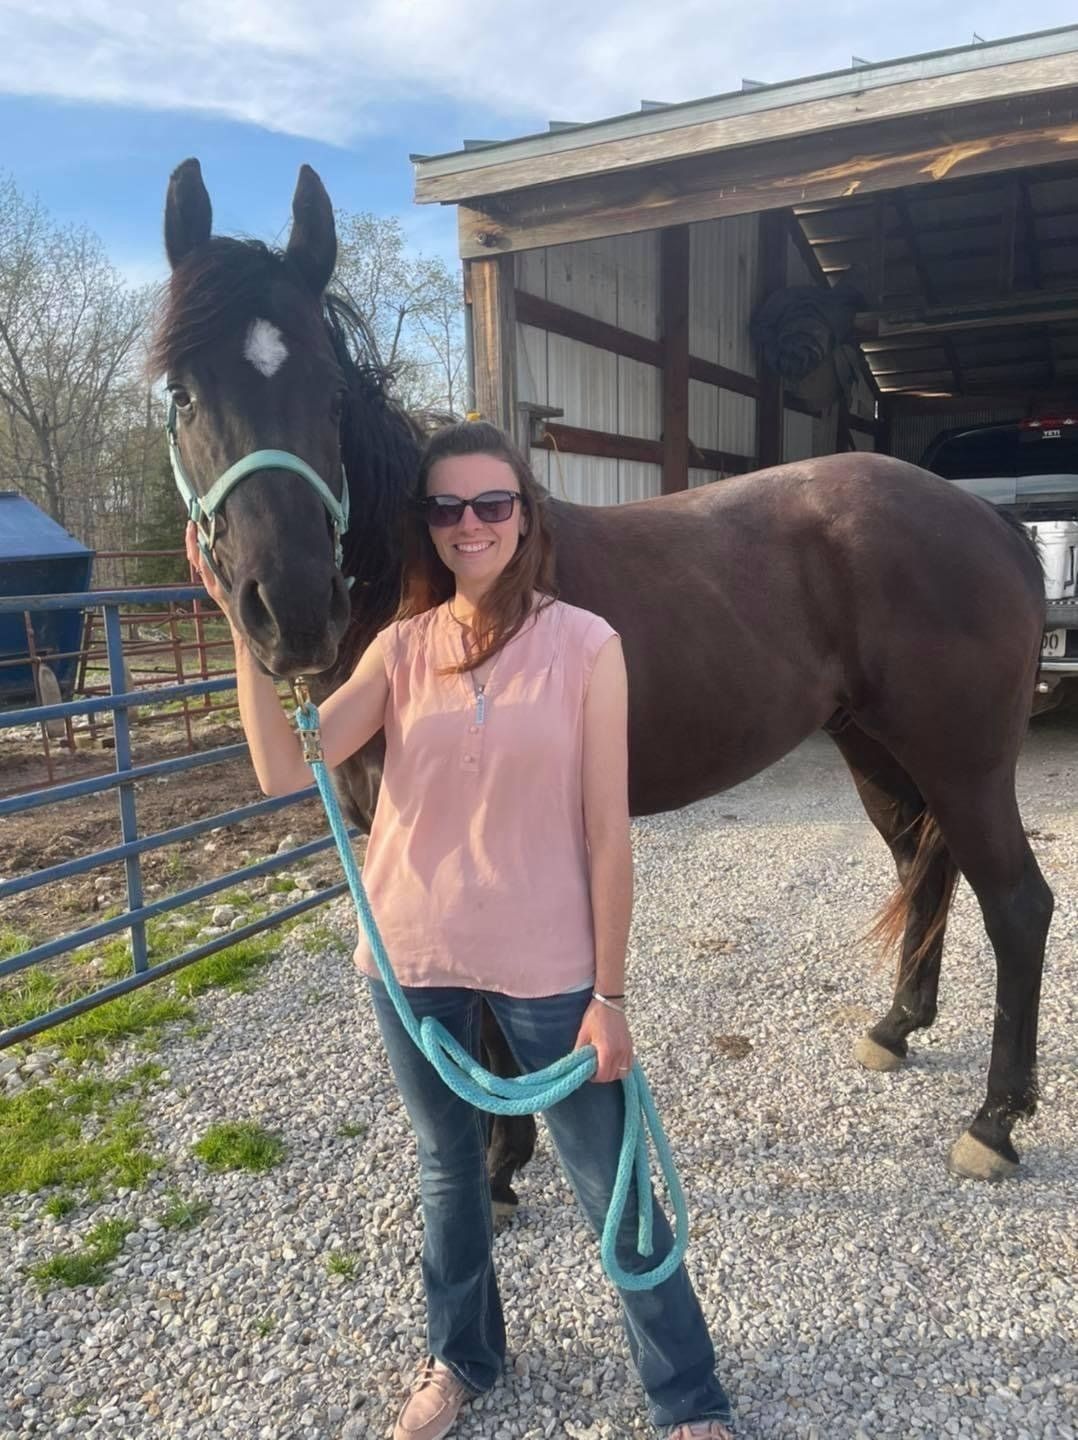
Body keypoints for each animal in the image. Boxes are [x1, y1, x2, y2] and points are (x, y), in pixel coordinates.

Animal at [154, 157, 1053, 1191]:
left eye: (331, 394)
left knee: (1017, 906)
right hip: (877, 748)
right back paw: (897, 1027)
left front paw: (500, 1162)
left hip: (964, 763)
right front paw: (504, 1154)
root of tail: (991, 525)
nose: (295, 610)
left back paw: (994, 1121)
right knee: (925, 870)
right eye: (182, 393)